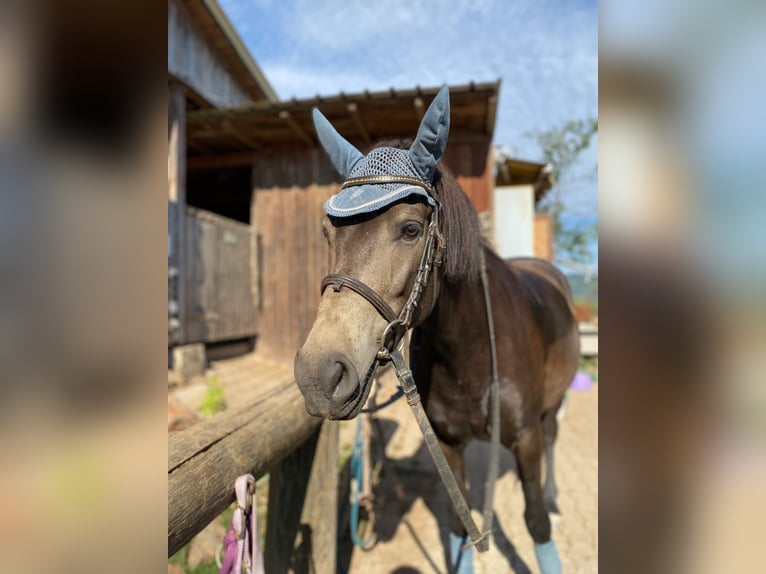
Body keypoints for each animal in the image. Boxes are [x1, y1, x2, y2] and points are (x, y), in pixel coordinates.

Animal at [296, 86, 584, 574]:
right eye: (326, 233)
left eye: (411, 229)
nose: (319, 375)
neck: (468, 351)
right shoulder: (448, 444)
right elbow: (457, 525)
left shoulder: (525, 440)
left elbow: (537, 525)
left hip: (552, 404)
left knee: (552, 438)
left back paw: (555, 497)